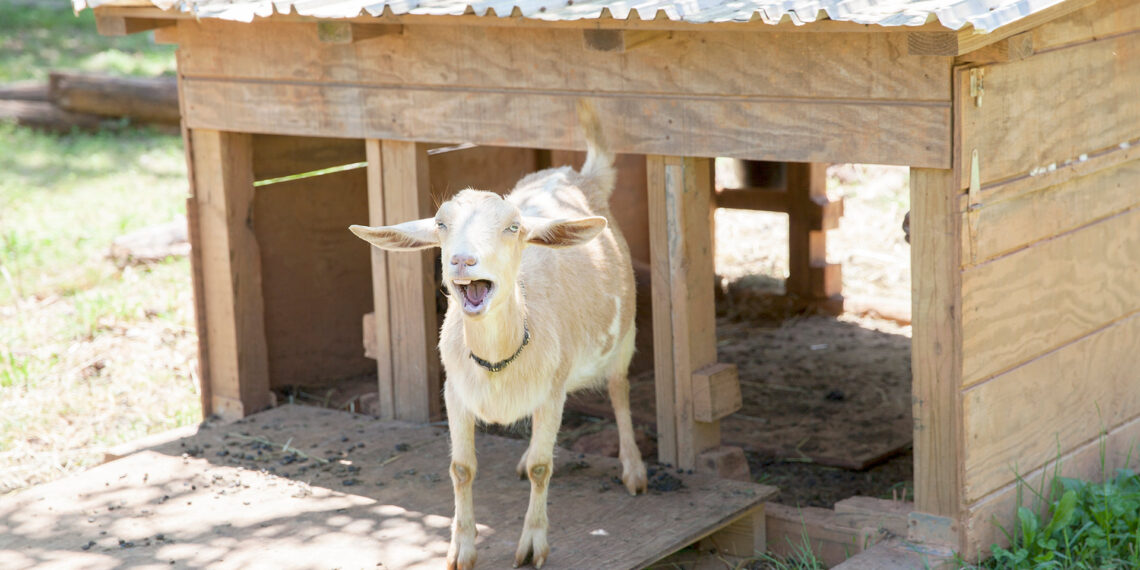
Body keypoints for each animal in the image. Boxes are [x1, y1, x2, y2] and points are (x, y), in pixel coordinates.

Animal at [350, 102, 647, 569]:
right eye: (440, 224)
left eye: (512, 227)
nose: (462, 260)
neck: (498, 358)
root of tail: (573, 173)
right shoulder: (455, 393)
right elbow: (462, 468)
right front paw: (462, 548)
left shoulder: (551, 393)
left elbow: (543, 468)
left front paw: (532, 545)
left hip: (624, 337)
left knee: (619, 390)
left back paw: (634, 470)